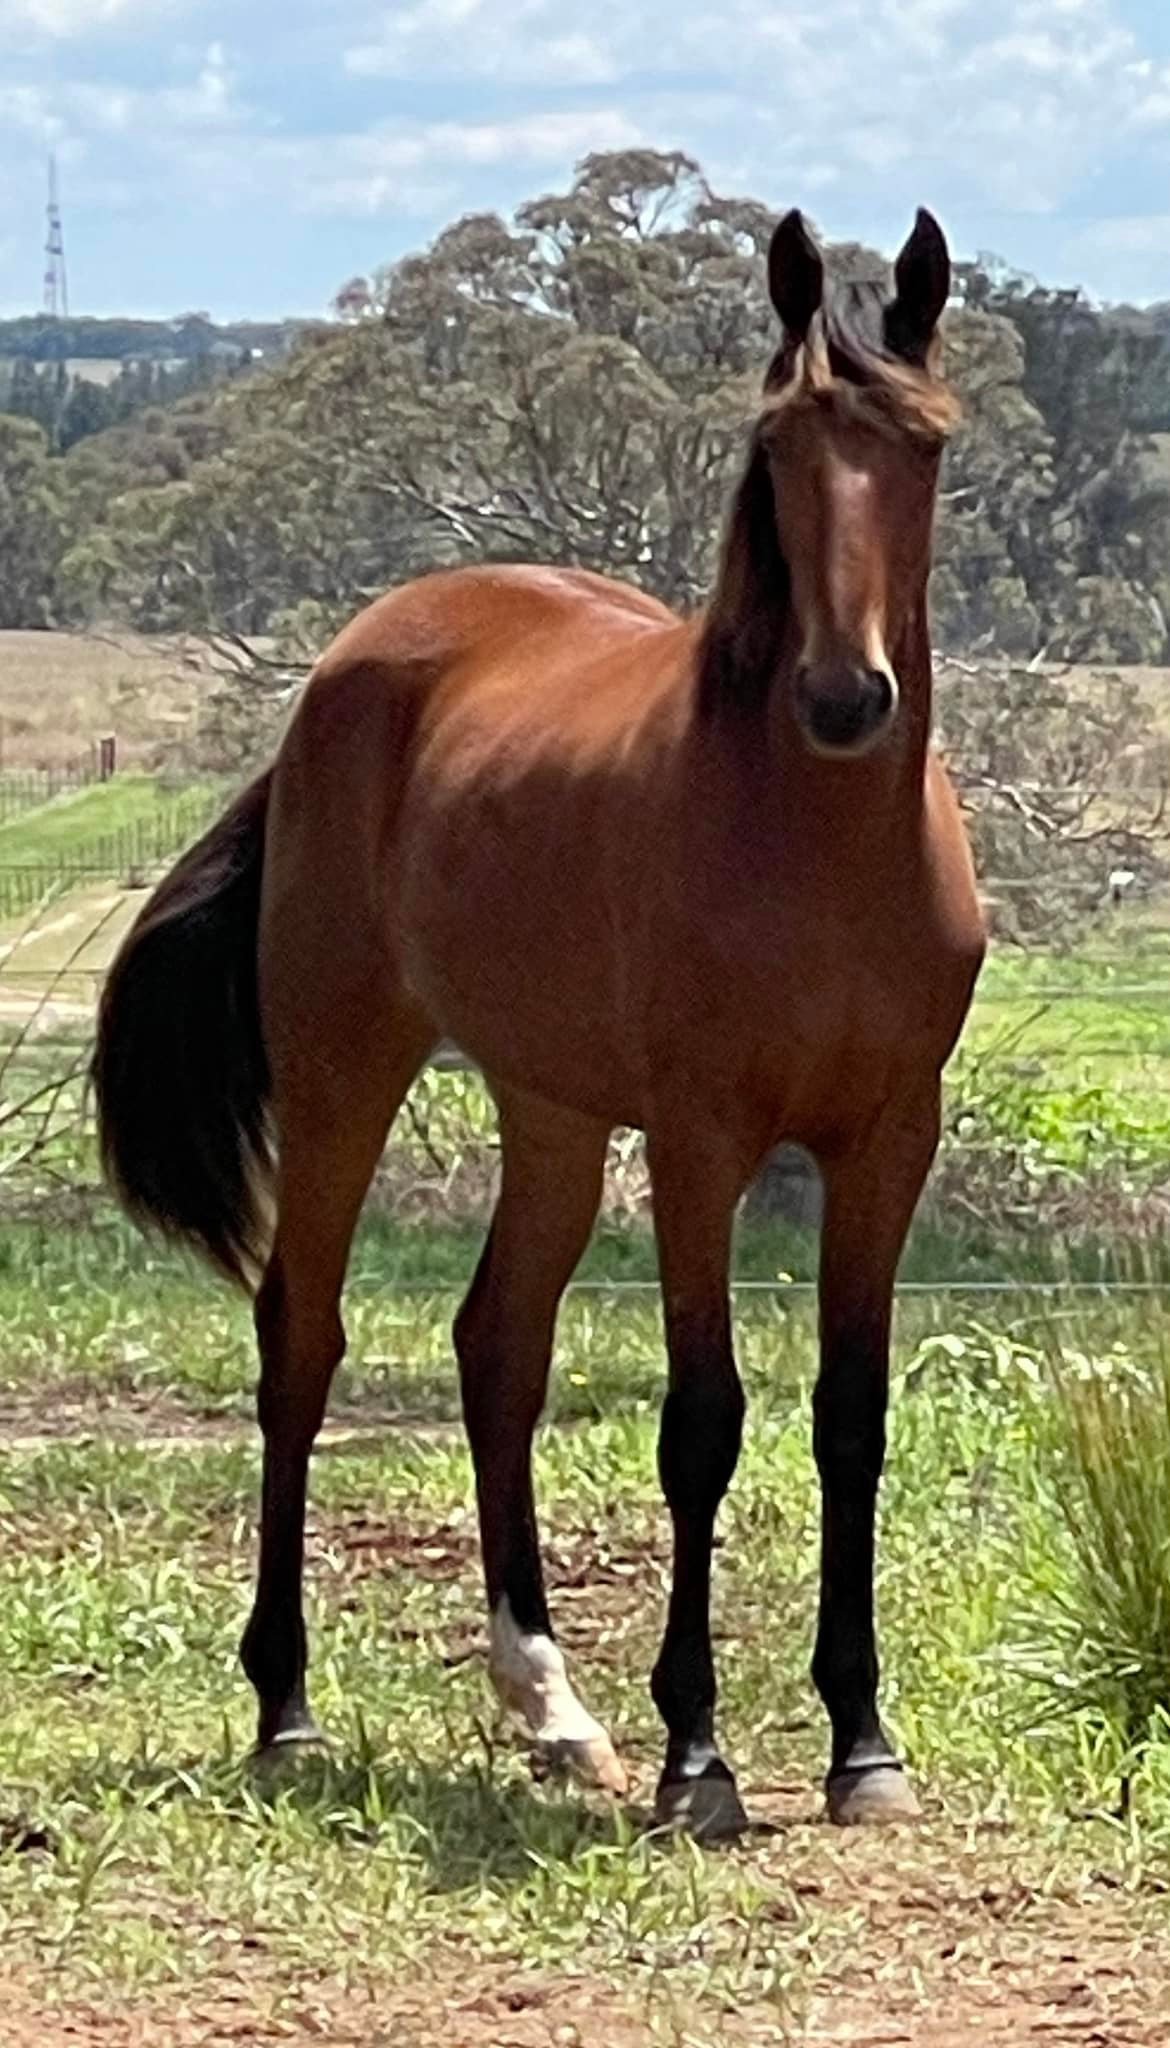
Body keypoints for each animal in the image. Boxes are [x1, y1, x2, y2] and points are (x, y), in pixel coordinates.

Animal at [93, 207, 985, 1839]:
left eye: (921, 445)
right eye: (776, 448)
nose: (844, 698)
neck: (816, 842)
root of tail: (344, 675)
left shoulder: (889, 1138)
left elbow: (850, 1417)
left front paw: (862, 1741)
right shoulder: (700, 1143)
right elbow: (703, 1421)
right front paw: (701, 1756)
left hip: (552, 1112)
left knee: (496, 1345)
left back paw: (551, 1707)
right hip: (344, 1070)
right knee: (300, 1339)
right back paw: (287, 1711)